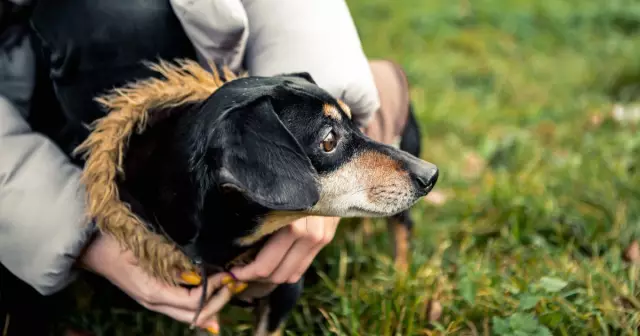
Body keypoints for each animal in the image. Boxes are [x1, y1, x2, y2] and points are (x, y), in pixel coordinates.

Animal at [74, 59, 436, 334]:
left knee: (402, 231)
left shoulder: (286, 289)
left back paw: (400, 281)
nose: (431, 175)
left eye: (356, 123)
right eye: (329, 140)